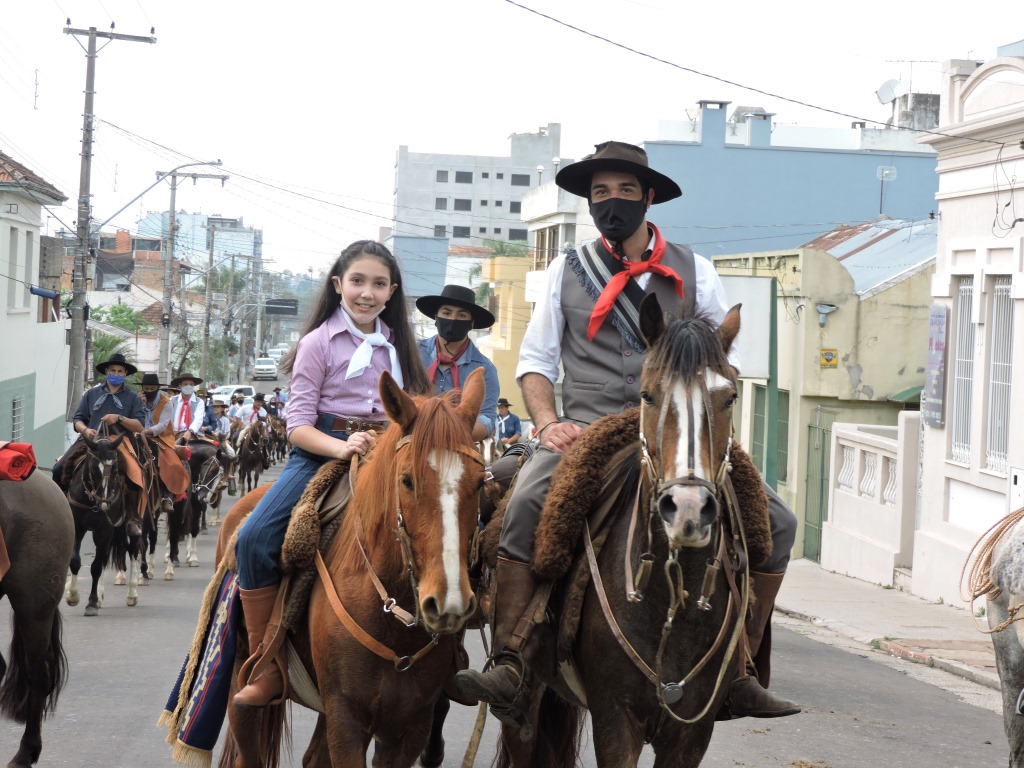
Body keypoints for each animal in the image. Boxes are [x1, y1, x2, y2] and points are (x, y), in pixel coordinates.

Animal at [217, 370, 487, 765]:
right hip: (241, 680)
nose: (448, 601)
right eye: (407, 480)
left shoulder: (409, 727)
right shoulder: (345, 720)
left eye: (480, 482)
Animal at [493, 296, 745, 768]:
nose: (688, 510)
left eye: (730, 397)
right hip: (526, 694)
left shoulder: (692, 730)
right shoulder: (615, 718)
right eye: (648, 395)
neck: (672, 602)